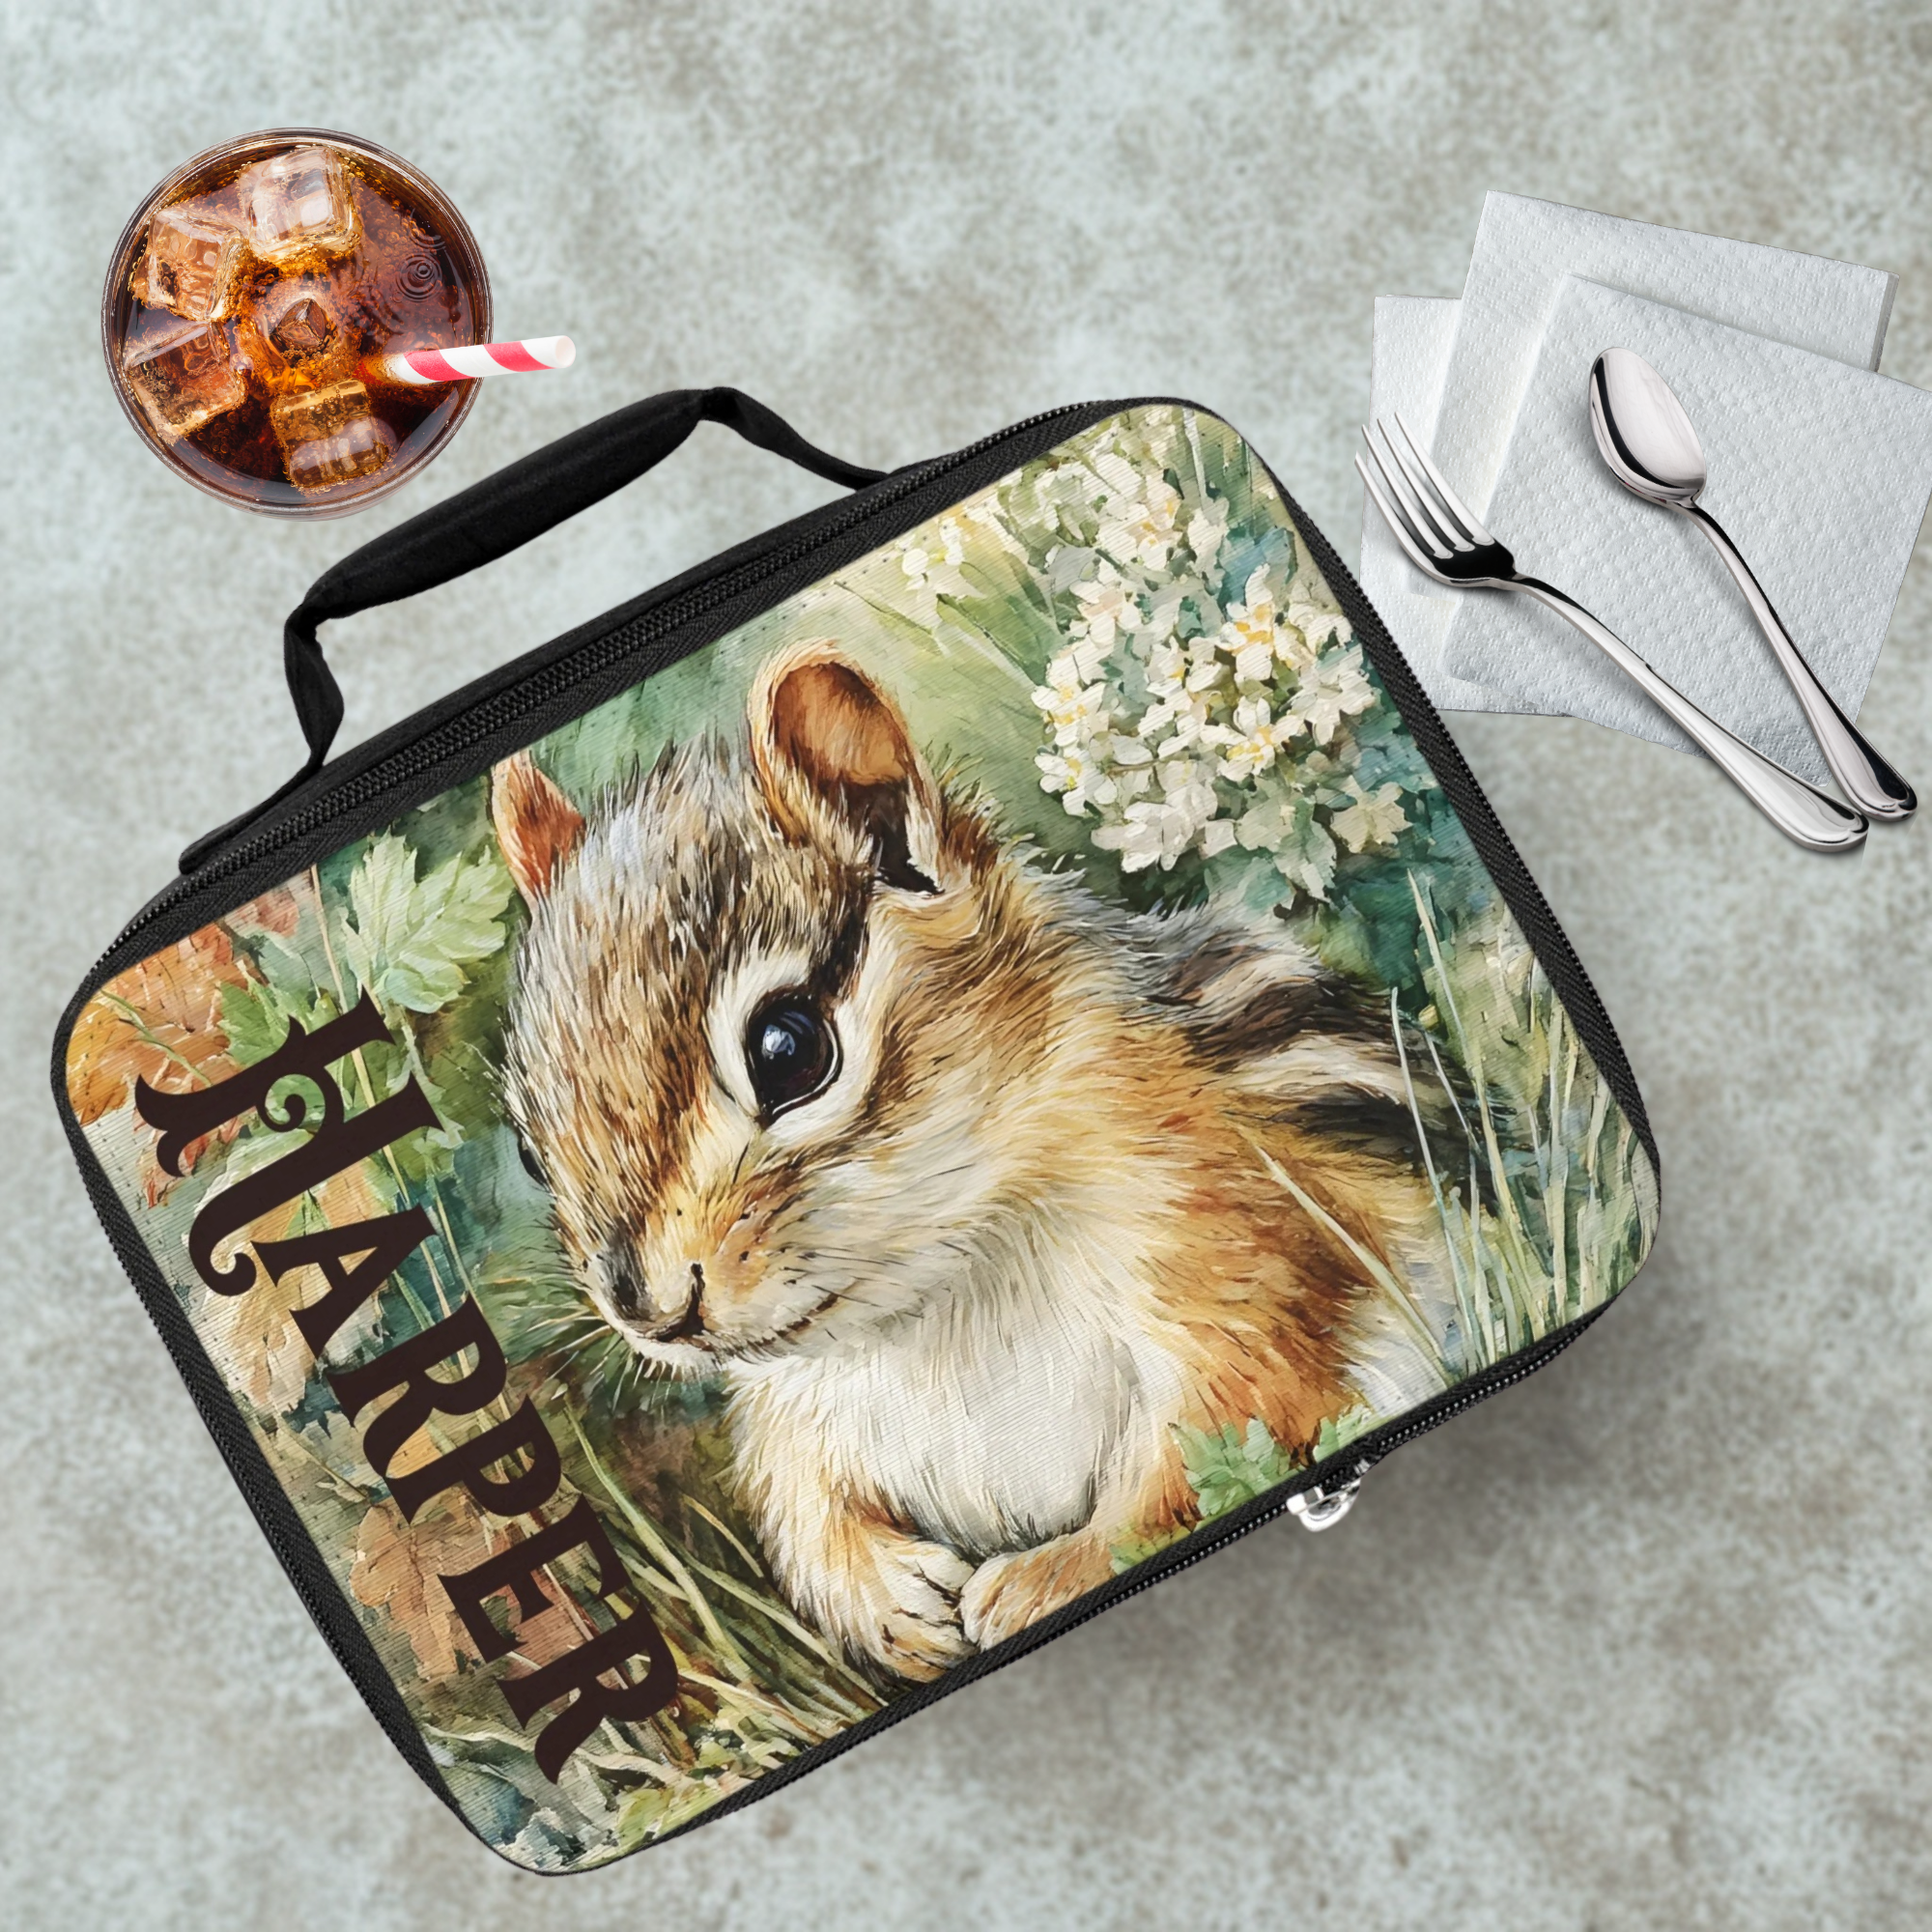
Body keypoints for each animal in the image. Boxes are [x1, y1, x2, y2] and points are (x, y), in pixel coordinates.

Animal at [491, 640, 1452, 1682]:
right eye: (528, 1143)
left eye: (788, 1049)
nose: (650, 1313)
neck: (935, 1287)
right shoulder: (795, 1408)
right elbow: (799, 1498)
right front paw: (886, 1601)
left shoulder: (1248, 1258)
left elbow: (1224, 1426)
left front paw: (1050, 1574)